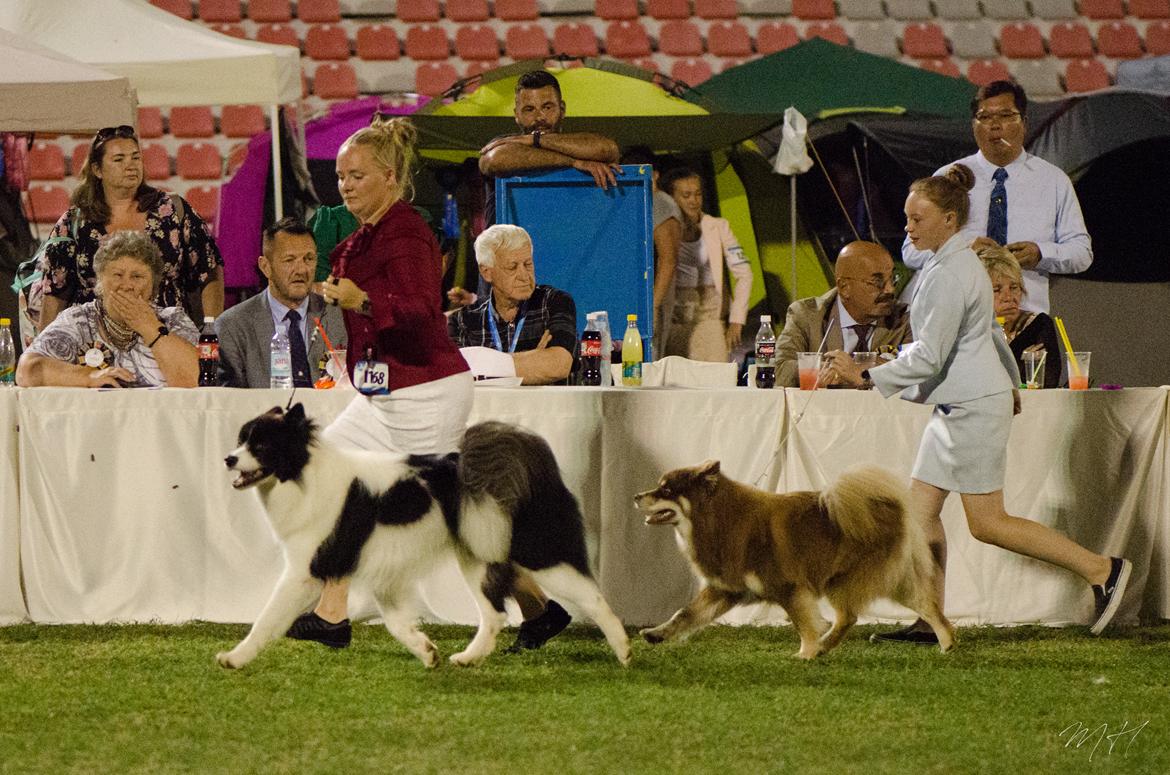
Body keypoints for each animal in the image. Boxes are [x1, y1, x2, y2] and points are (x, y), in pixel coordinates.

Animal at [636, 461, 954, 660]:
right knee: (930, 608)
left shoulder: (789, 588)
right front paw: (657, 634)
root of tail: (890, 509)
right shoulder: (725, 589)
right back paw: (947, 644)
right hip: (894, 580)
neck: (720, 519)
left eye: (666, 490)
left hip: (843, 581)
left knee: (848, 617)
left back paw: (822, 648)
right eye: (658, 486)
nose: (637, 495)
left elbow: (805, 624)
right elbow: (685, 614)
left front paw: (807, 653)